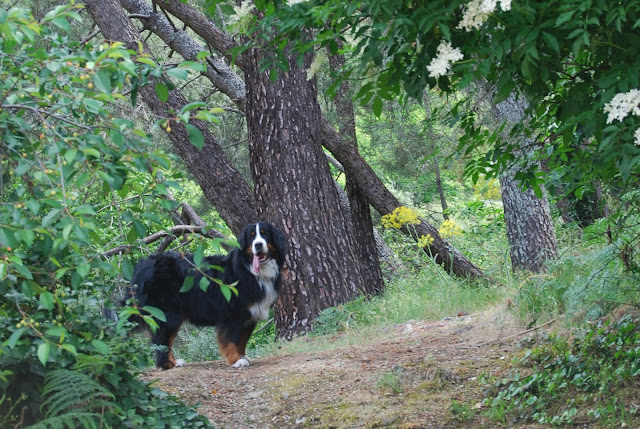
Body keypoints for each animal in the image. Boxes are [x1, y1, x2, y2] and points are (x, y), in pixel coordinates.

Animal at [125, 221, 284, 368]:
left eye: (265, 234)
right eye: (251, 237)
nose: (258, 245)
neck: (251, 271)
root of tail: (142, 264)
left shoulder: (250, 315)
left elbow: (242, 340)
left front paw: (242, 356)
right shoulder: (232, 313)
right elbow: (231, 339)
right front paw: (236, 360)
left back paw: (175, 362)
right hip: (168, 313)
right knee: (162, 339)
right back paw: (166, 364)